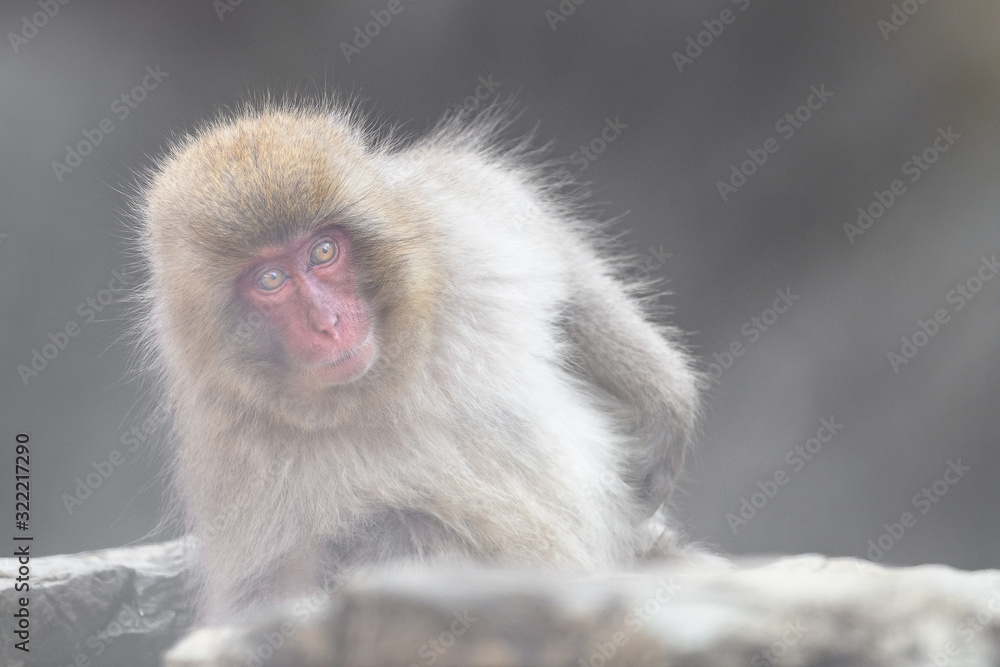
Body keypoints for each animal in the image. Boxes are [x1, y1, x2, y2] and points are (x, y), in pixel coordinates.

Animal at [133, 101, 702, 622]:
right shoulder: (235, 457)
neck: (386, 376)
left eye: (323, 252)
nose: (328, 323)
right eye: (270, 279)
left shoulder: (454, 227)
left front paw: (663, 398)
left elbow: (555, 260)